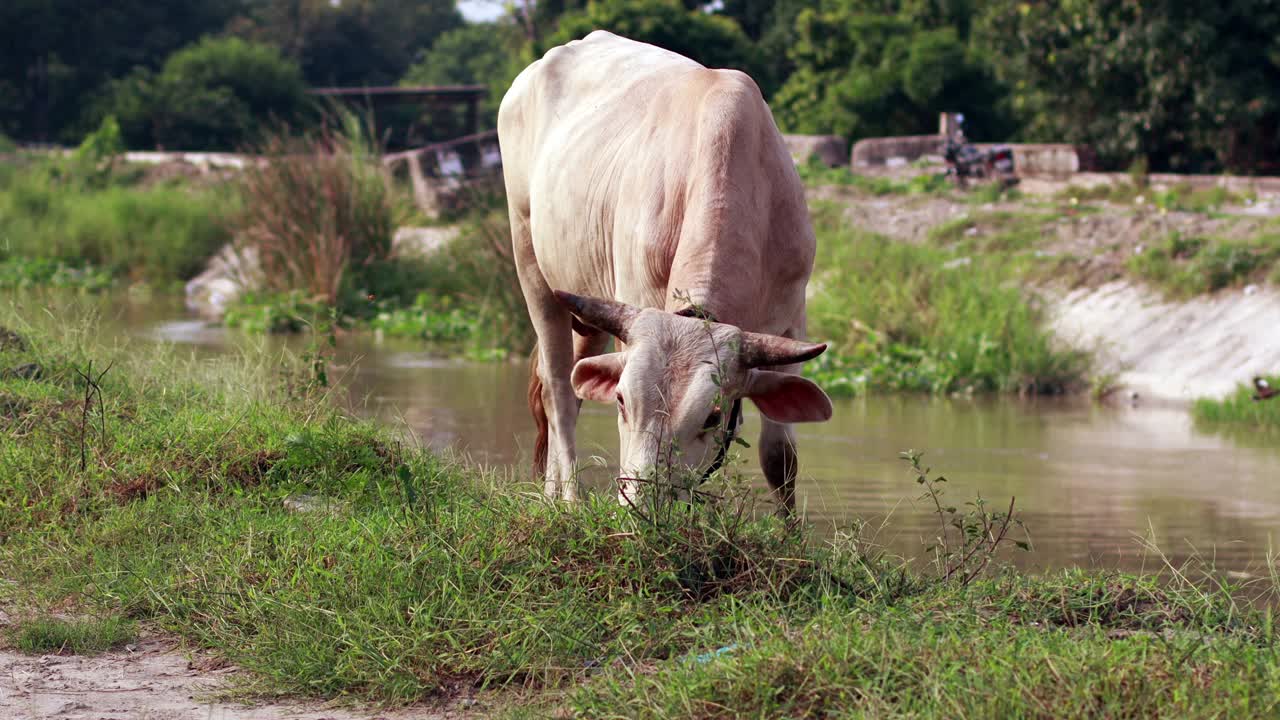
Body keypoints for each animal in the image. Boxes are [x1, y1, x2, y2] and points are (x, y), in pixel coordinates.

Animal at [494, 30, 834, 507]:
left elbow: (779, 457)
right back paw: (571, 500)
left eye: (712, 417)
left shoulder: (792, 320)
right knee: (559, 389)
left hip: (586, 307)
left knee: (568, 387)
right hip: (530, 263)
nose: (642, 507)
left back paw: (552, 496)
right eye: (622, 401)